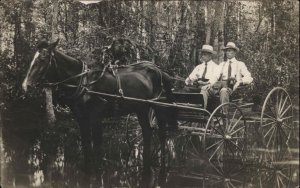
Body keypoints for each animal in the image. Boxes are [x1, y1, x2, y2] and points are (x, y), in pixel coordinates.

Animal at [22, 39, 177, 187]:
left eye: (43, 58)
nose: (25, 85)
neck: (84, 82)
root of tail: (158, 70)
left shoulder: (96, 118)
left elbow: (97, 147)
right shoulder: (81, 118)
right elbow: (86, 145)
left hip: (156, 107)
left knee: (161, 134)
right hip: (142, 109)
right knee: (147, 132)